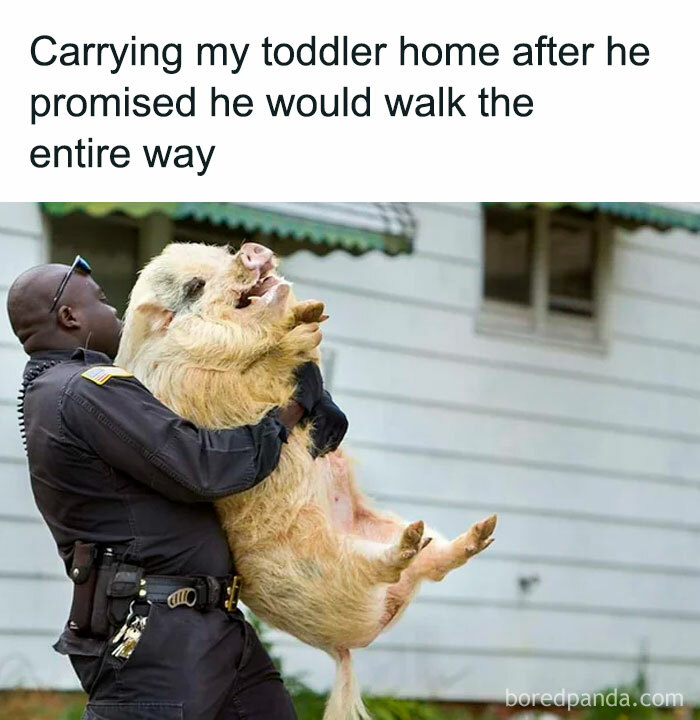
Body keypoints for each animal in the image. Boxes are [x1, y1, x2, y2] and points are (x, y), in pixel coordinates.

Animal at [116, 241, 496, 720]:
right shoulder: (203, 389)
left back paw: (477, 531)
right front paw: (301, 330)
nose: (251, 249)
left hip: (384, 528)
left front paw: (314, 313)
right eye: (195, 287)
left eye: (220, 254)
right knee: (386, 565)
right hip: (334, 563)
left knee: (437, 562)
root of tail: (350, 642)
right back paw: (413, 541)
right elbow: (260, 367)